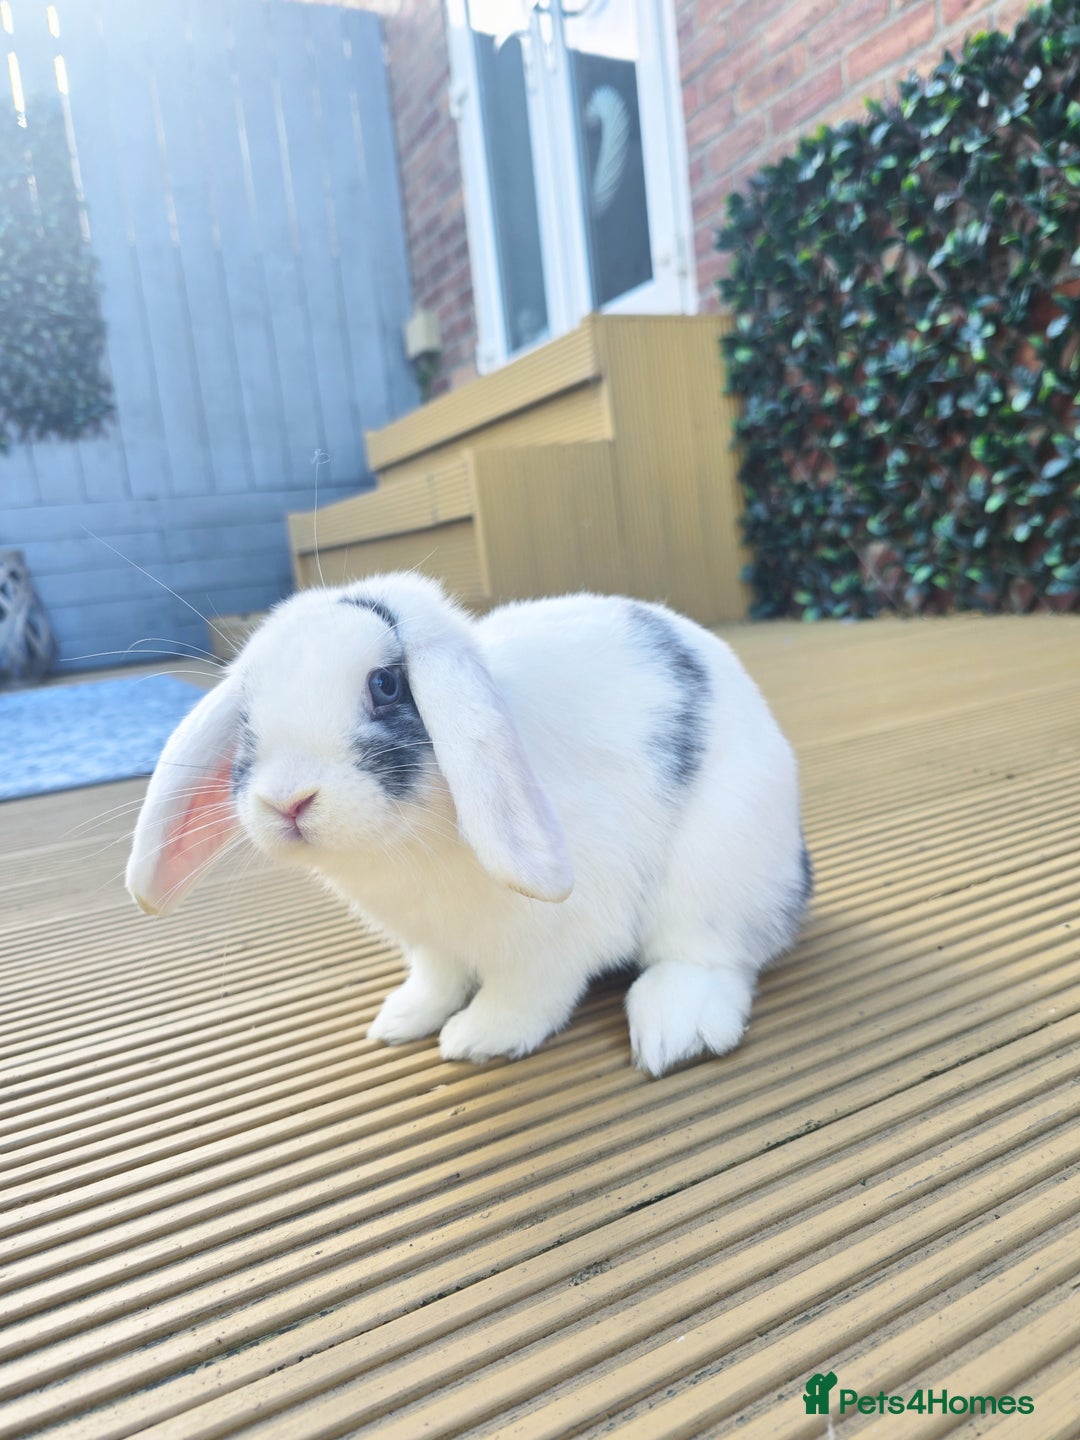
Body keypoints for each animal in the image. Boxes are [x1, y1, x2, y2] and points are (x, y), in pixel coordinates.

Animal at [126, 572, 812, 1076]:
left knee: (708, 954)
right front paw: (401, 1019)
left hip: (720, 865)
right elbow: (436, 980)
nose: (286, 801)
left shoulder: (555, 939)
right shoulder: (431, 944)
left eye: (386, 684)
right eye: (245, 713)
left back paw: (676, 1027)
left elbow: (527, 992)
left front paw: (479, 1037)